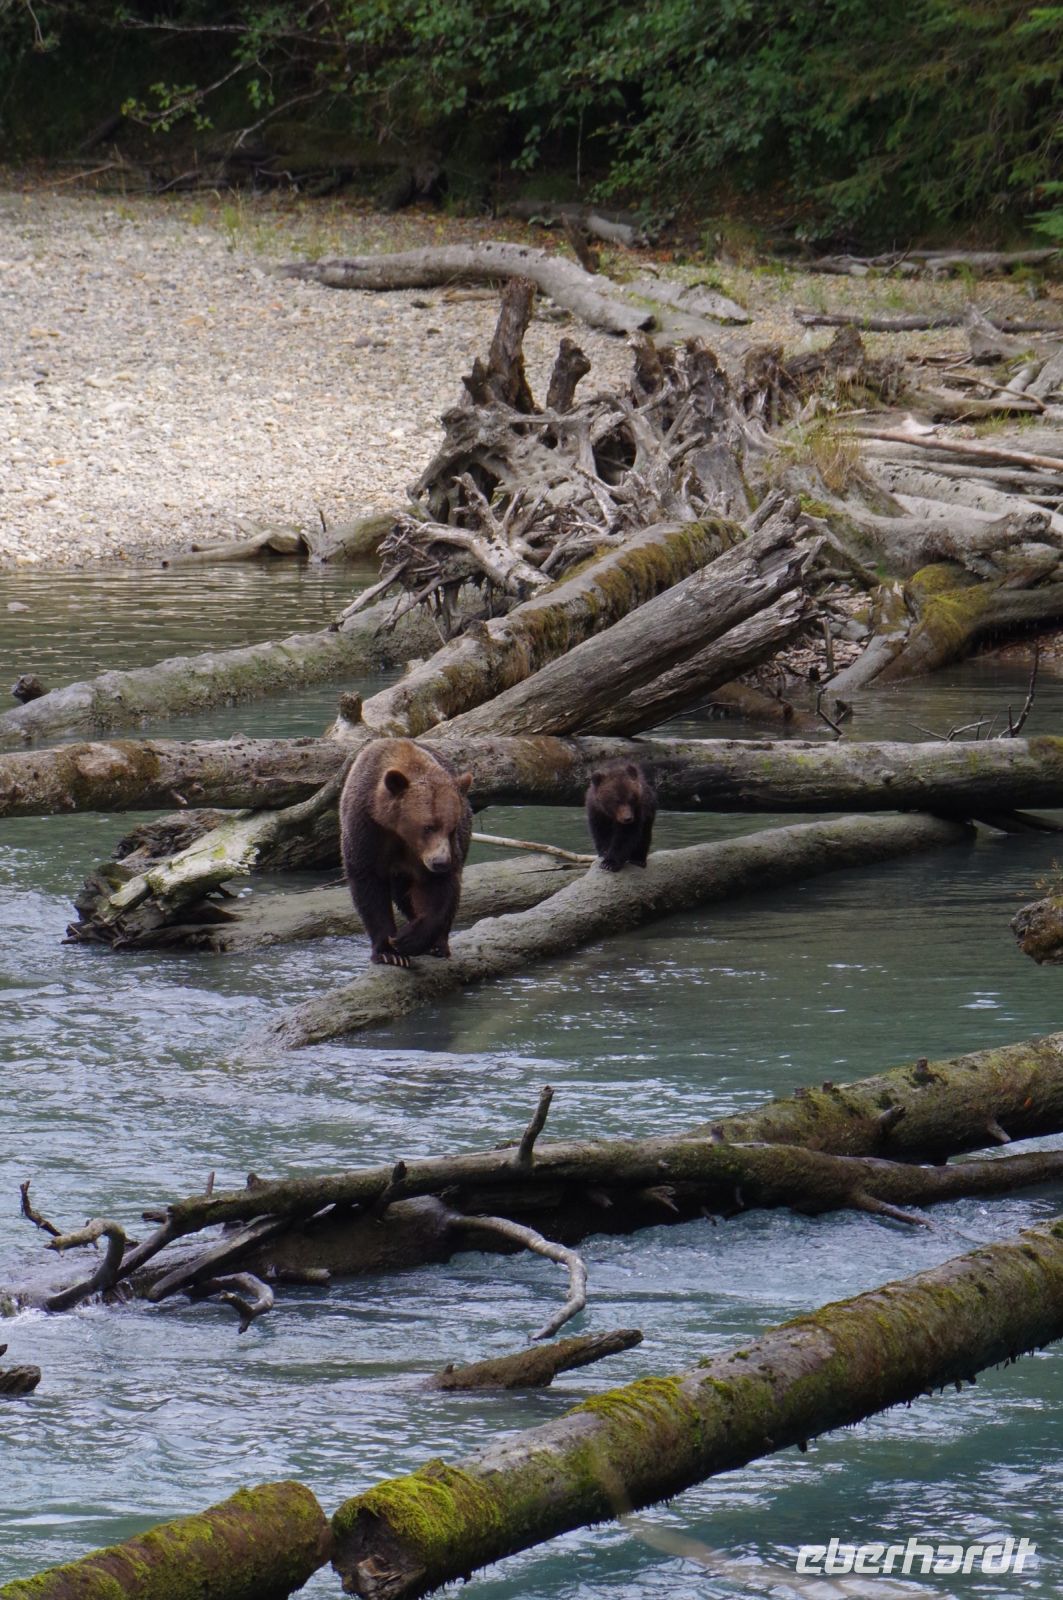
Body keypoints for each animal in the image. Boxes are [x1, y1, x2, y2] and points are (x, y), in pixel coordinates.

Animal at [340, 738, 473, 968]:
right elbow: (368, 884)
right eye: (428, 827)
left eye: (451, 828)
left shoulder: (434, 854)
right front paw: (389, 952)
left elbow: (438, 892)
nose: (441, 862)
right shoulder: (366, 830)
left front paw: (407, 939)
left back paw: (439, 945)